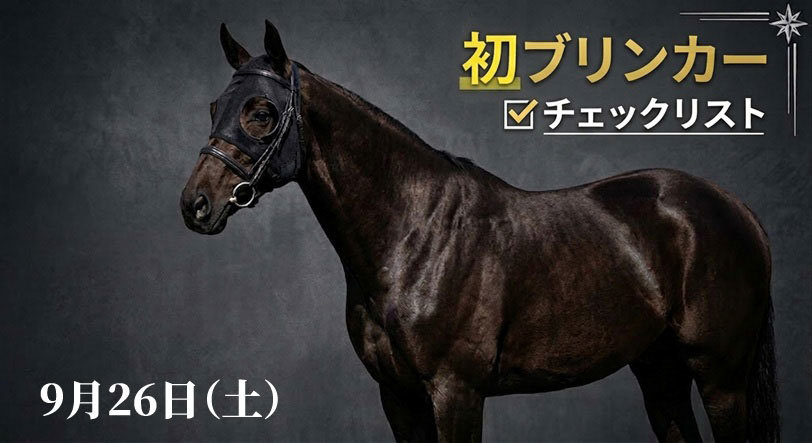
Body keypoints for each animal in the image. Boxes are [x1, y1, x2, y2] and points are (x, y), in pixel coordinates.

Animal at [180, 21, 778, 442]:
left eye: (261, 112)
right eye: (214, 107)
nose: (196, 205)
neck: (414, 237)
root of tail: (736, 207)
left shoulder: (457, 392)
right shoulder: (398, 398)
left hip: (721, 377)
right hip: (660, 372)